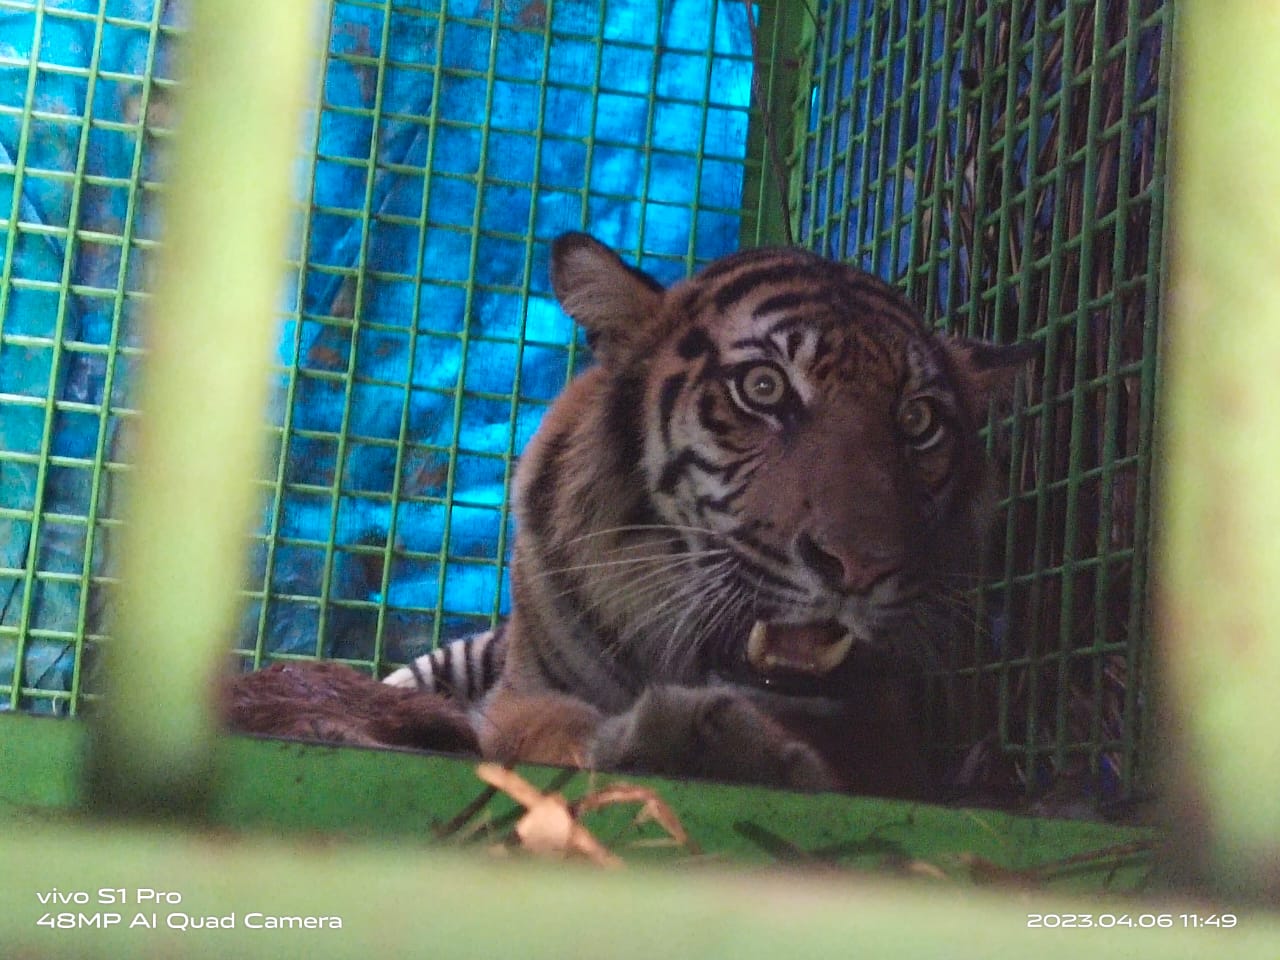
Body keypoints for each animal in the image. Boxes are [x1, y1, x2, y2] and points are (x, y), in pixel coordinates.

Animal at [378, 235, 1029, 798]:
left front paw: (727, 743)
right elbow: (548, 730)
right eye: (764, 388)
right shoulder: (522, 693)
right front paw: (684, 738)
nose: (862, 566)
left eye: (918, 421)